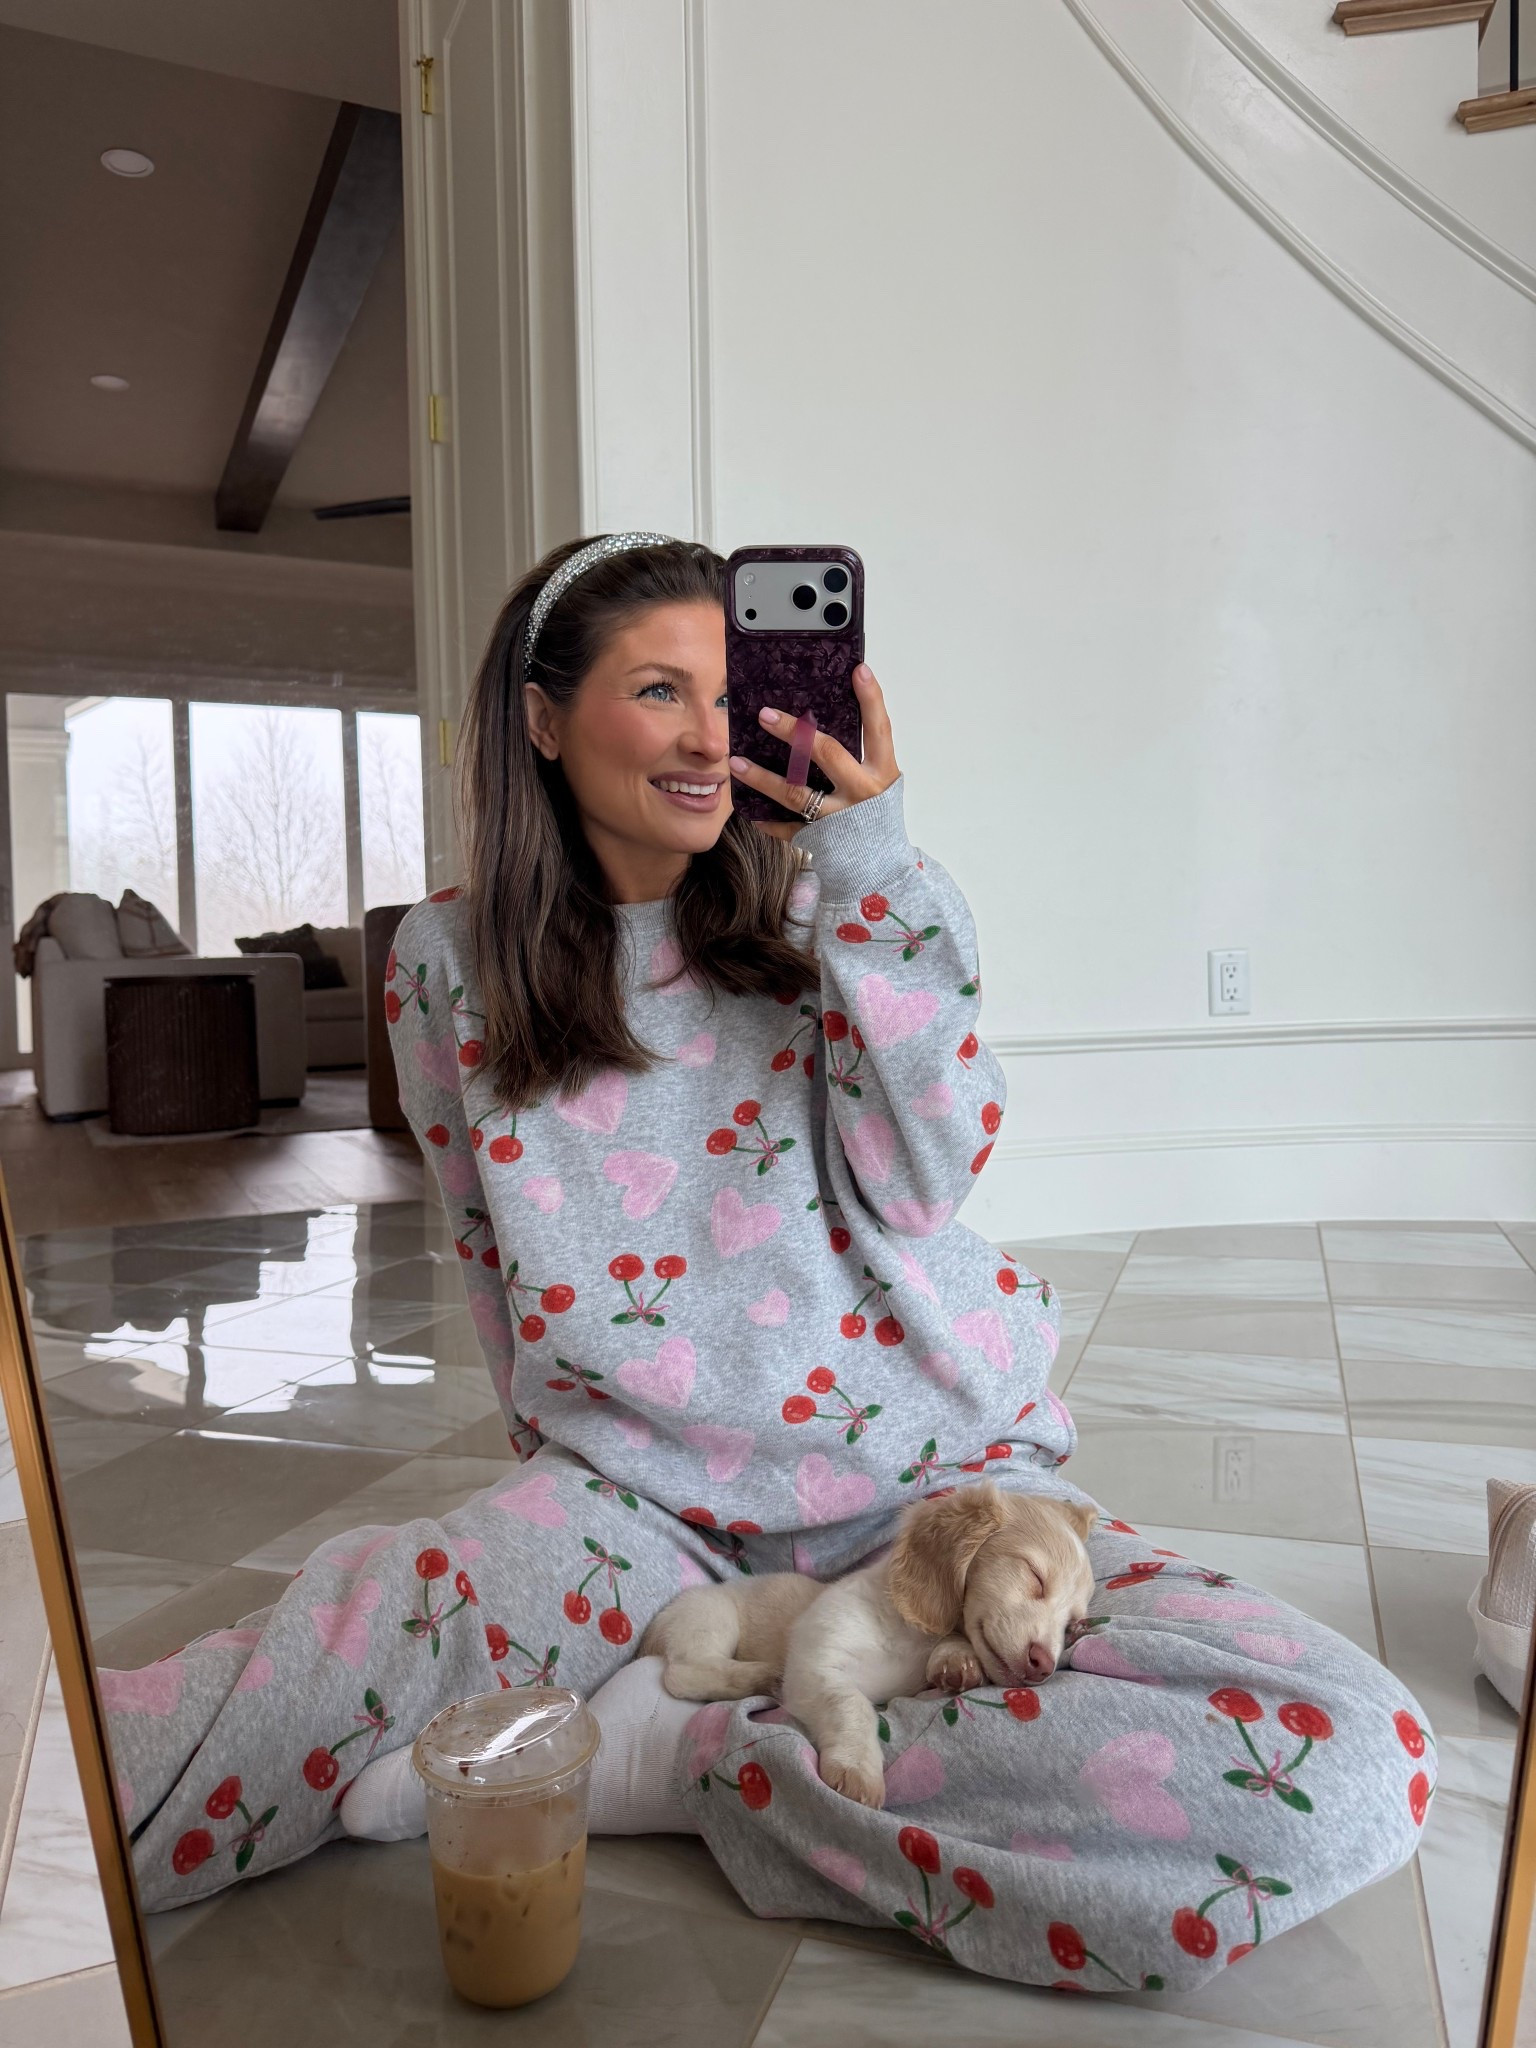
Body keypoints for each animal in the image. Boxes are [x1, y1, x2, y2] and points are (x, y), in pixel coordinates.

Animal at [641, 1482, 1097, 1807]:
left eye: (1072, 1627)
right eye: (1035, 1576)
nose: (1043, 1666)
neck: (908, 1635)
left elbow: (953, 1646)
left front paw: (957, 1663)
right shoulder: (816, 1666)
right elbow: (852, 1705)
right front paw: (858, 1770)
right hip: (710, 1617)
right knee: (683, 1673)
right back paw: (760, 1675)